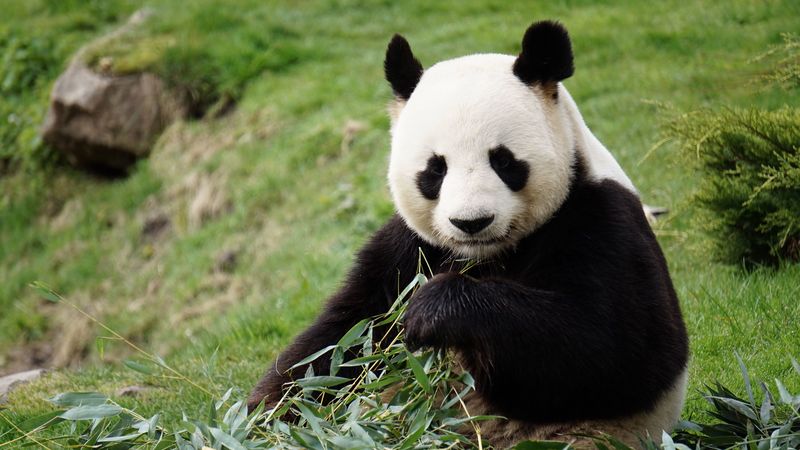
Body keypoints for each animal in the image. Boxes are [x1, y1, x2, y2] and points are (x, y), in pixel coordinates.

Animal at [249, 21, 689, 448]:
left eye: (504, 161)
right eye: (435, 169)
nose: (471, 222)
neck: (485, 255)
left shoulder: (601, 221)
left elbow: (615, 349)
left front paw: (431, 311)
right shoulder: (408, 250)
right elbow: (340, 340)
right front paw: (265, 418)